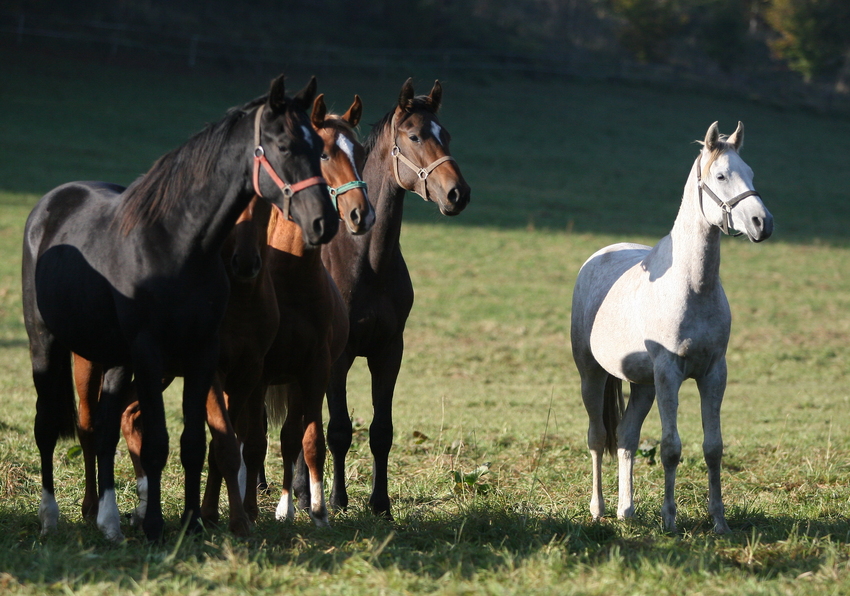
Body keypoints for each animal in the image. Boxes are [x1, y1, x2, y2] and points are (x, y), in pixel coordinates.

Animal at [568, 120, 772, 532]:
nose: (763, 223)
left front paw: (719, 521)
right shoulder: (669, 373)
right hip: (592, 374)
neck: (692, 285)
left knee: (626, 438)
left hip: (643, 386)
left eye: (751, 172)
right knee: (598, 438)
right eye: (721, 175)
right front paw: (670, 520)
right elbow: (670, 448)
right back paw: (599, 509)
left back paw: (626, 510)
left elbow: (713, 448)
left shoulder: (713, 373)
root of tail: (599, 256)